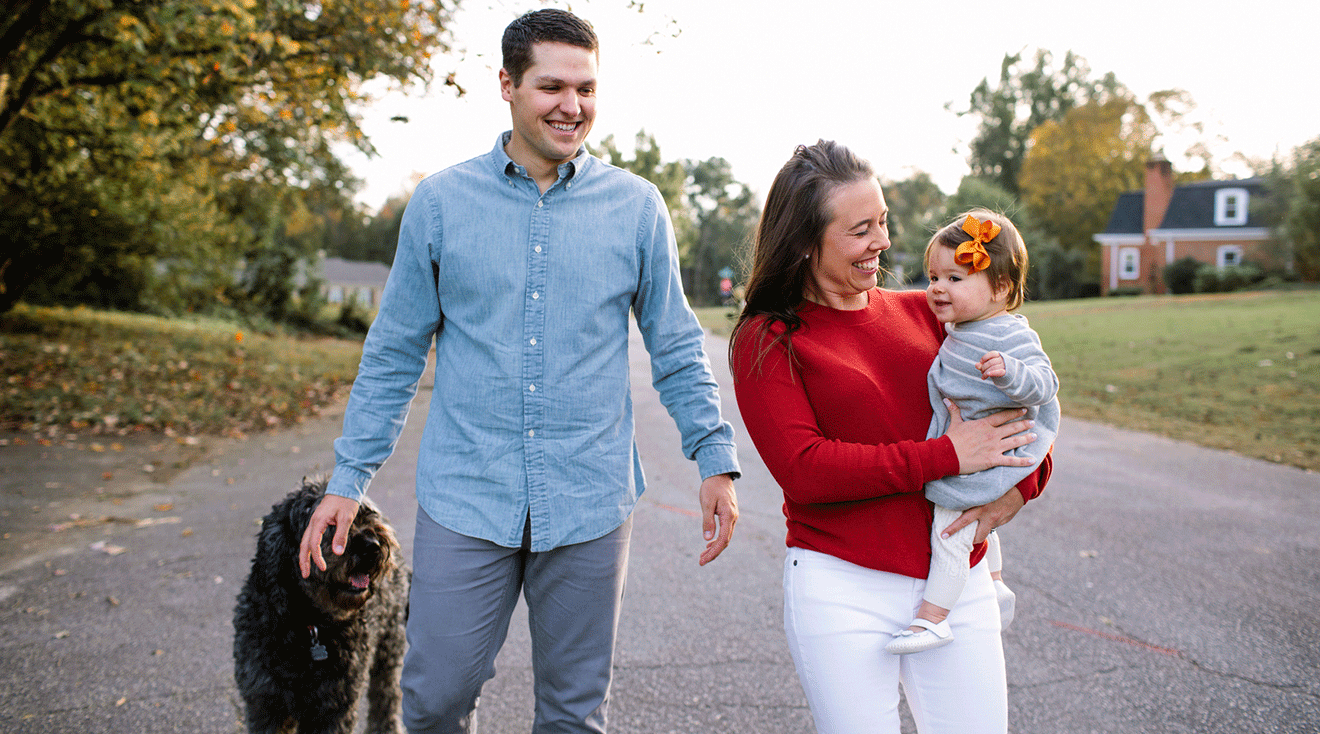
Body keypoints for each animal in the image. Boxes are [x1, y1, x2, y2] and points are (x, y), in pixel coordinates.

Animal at [233, 477, 406, 728]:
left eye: (366, 514)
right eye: (327, 523)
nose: (372, 545)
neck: (305, 624)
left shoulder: (334, 707)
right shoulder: (264, 704)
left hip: (389, 649)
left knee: (386, 703)